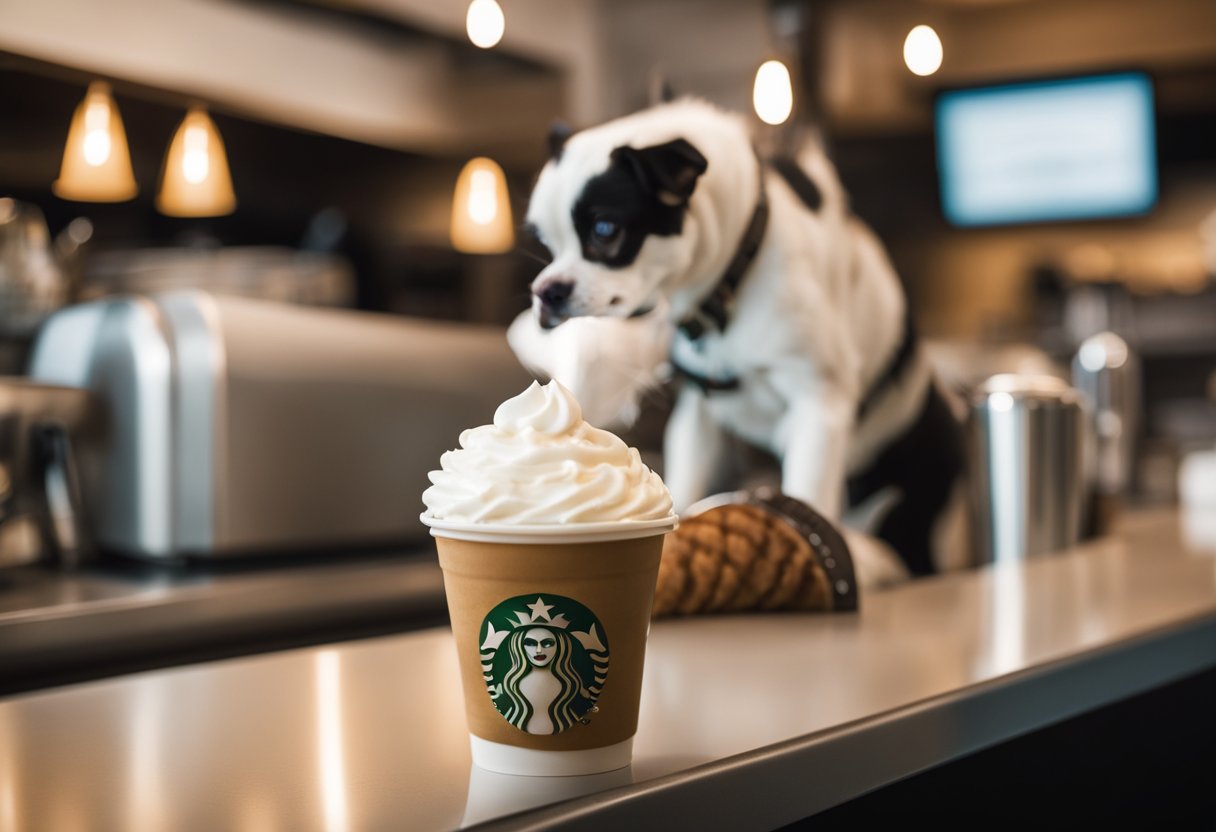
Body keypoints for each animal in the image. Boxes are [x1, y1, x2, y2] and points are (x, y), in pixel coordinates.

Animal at [518, 99, 963, 583]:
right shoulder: (698, 415)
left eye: (604, 230)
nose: (545, 291)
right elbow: (686, 480)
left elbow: (809, 497)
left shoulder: (819, 410)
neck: (732, 272)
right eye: (544, 241)